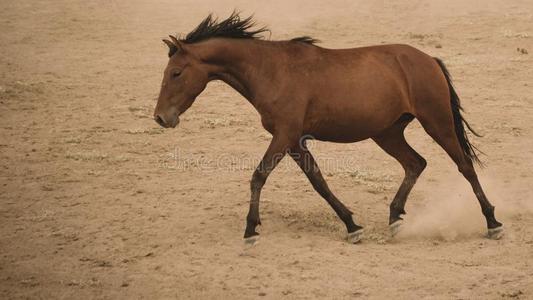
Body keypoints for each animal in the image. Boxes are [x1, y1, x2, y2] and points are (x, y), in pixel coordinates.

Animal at [153, 13, 502, 244]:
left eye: (176, 72)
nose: (160, 118)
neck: (270, 70)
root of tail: (428, 59)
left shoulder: (284, 136)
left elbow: (259, 176)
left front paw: (251, 229)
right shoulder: (294, 140)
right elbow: (318, 181)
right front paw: (352, 226)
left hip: (437, 122)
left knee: (464, 166)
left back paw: (492, 221)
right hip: (387, 133)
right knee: (416, 163)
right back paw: (395, 219)